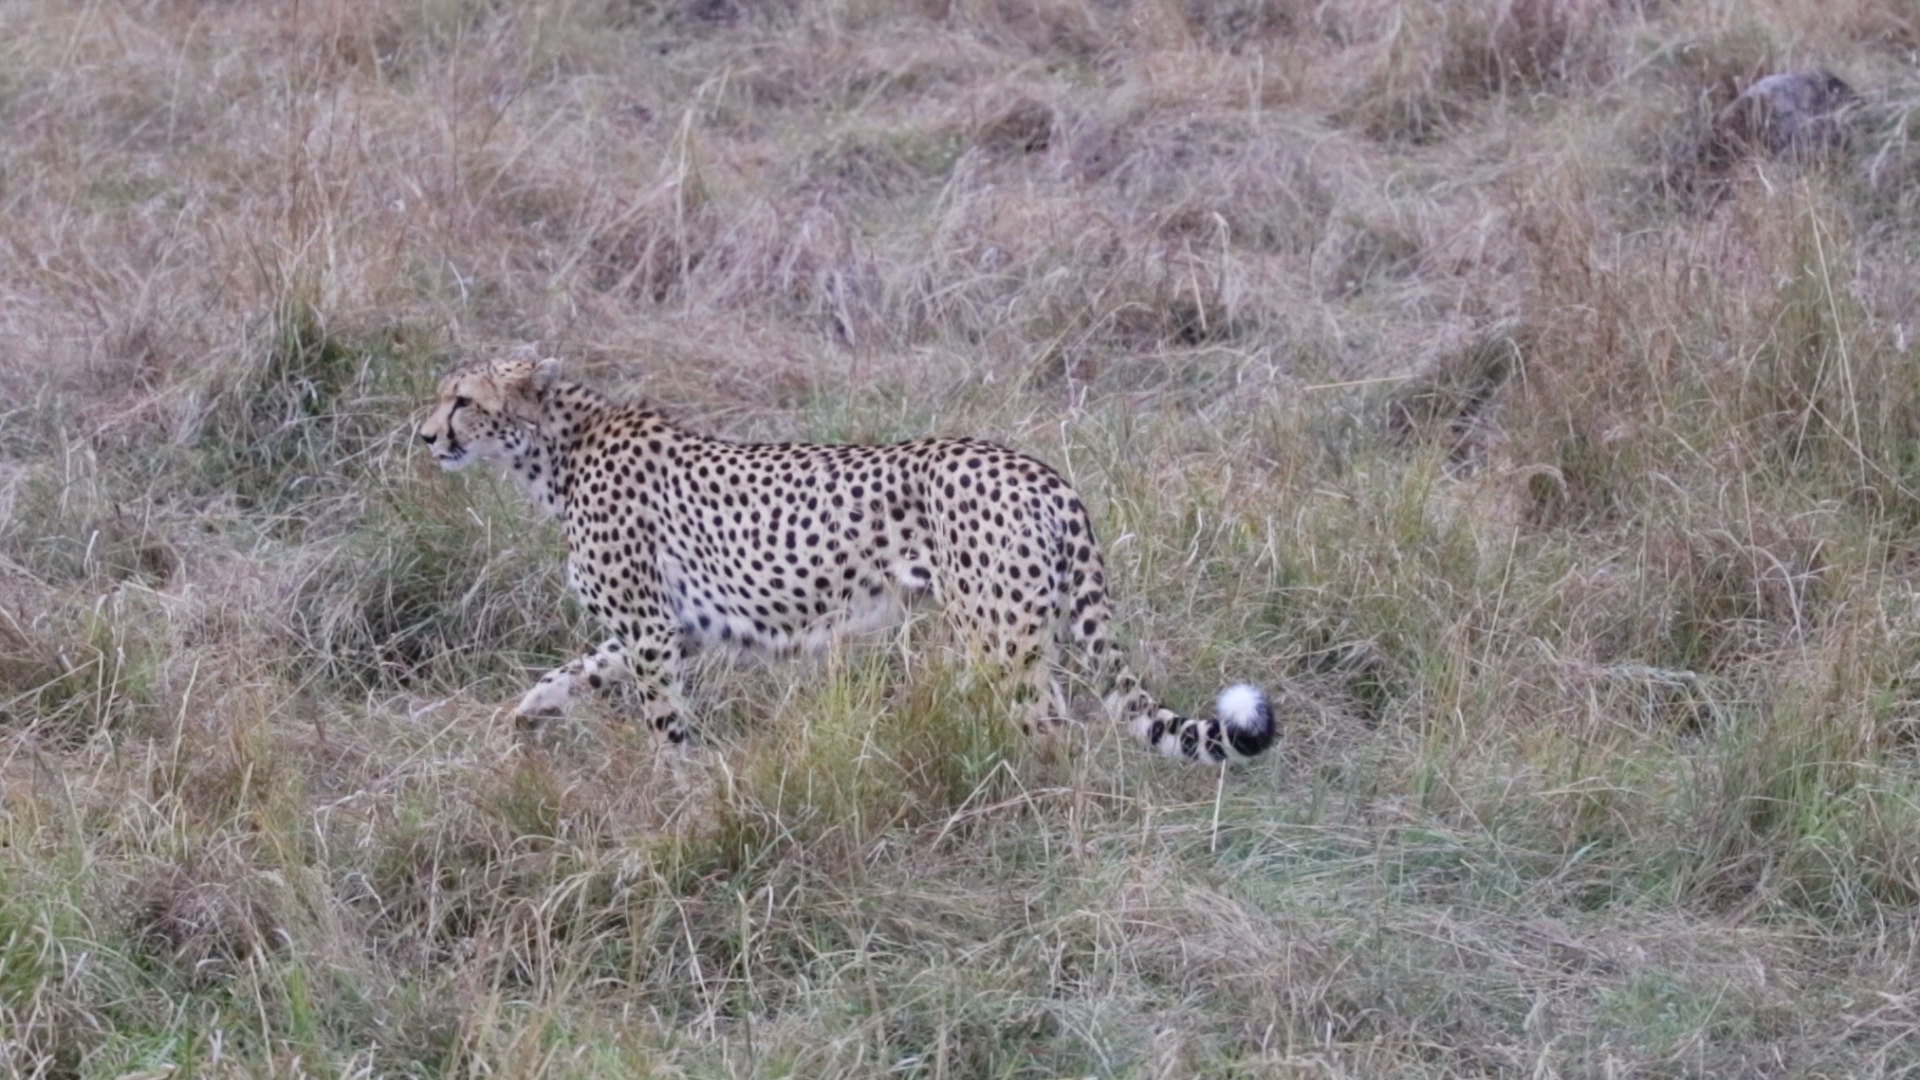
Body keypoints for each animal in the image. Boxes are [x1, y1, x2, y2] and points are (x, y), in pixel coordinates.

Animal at [416, 357, 1274, 760]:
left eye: (463, 401)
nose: (423, 436)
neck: (557, 449)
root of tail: (1038, 469)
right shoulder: (675, 627)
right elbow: (584, 667)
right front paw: (531, 710)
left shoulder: (653, 631)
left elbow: (662, 717)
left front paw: (677, 787)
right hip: (1031, 626)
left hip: (1000, 636)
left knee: (1050, 729)